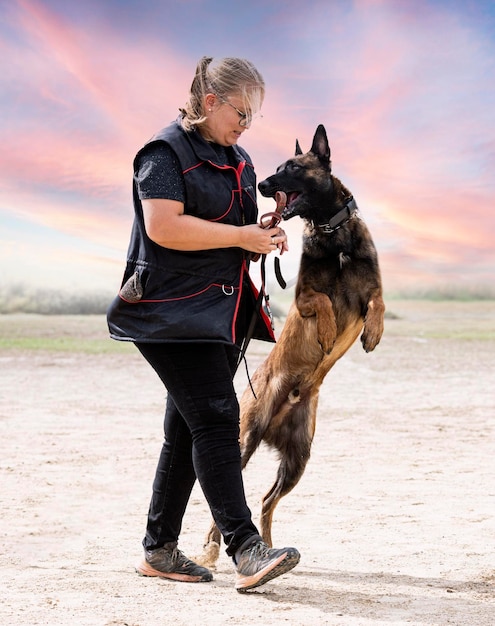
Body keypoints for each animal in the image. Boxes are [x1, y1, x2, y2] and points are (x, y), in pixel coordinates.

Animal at [200, 123, 386, 564]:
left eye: (294, 168)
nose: (263, 184)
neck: (332, 233)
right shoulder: (303, 297)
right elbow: (324, 302)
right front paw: (327, 330)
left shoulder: (372, 289)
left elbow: (378, 304)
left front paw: (373, 332)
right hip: (245, 440)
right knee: (228, 502)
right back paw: (213, 548)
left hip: (298, 459)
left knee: (266, 501)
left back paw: (270, 547)